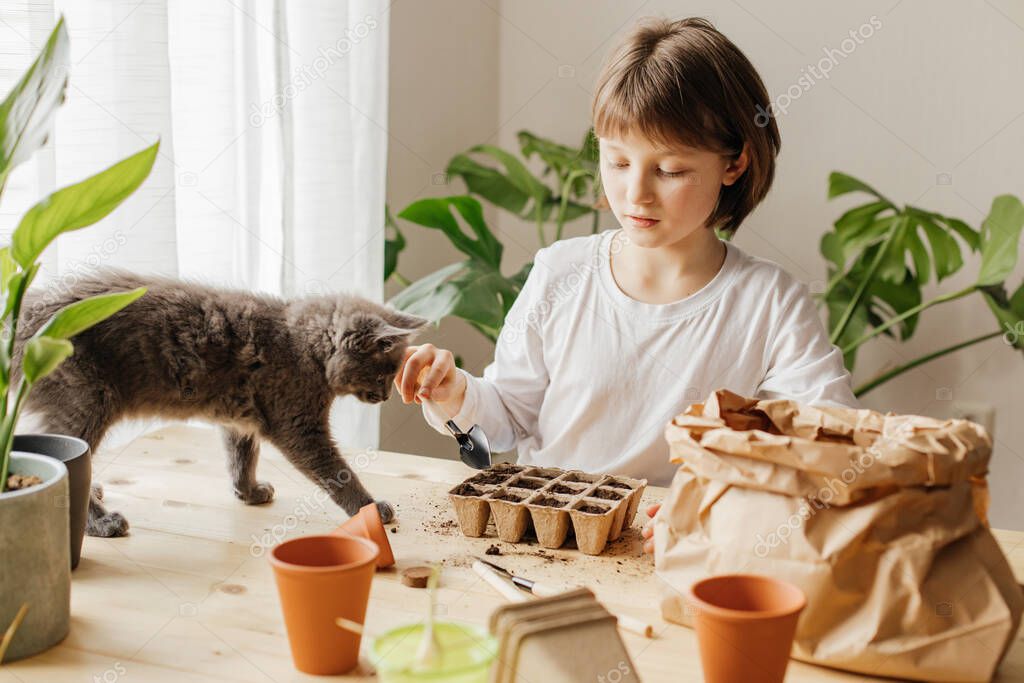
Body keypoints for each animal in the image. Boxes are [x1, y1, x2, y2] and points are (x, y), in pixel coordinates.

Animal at [12, 270, 428, 536]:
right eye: (384, 373)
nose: (385, 395)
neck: (301, 346)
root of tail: (24, 316)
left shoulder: (239, 419)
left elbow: (241, 458)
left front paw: (249, 492)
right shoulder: (299, 427)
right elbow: (338, 472)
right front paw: (370, 507)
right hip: (86, 404)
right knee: (68, 465)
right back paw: (102, 522)